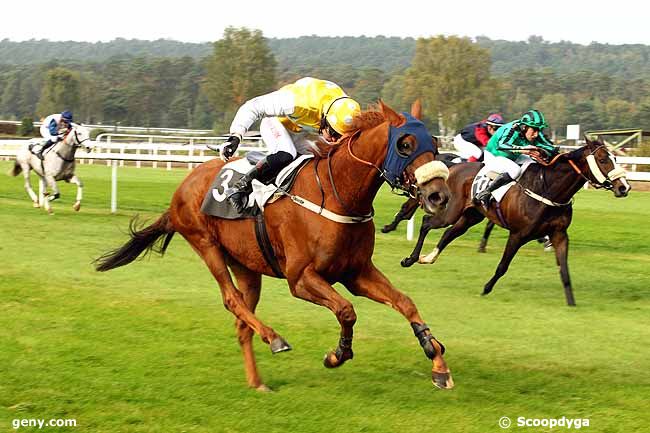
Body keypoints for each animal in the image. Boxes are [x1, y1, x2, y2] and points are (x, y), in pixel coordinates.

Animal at [93, 103, 454, 390]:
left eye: (435, 144)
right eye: (405, 144)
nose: (439, 196)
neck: (337, 193)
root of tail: (183, 187)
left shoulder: (357, 272)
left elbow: (405, 302)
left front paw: (436, 359)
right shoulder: (301, 278)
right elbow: (346, 311)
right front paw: (337, 354)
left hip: (246, 265)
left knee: (242, 319)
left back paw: (257, 381)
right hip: (206, 244)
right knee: (232, 300)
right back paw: (275, 338)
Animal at [400, 137, 628, 306]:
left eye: (615, 157)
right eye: (603, 159)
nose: (624, 187)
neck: (548, 189)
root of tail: (452, 167)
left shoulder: (559, 234)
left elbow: (564, 270)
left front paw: (571, 302)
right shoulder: (518, 234)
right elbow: (503, 266)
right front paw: (486, 289)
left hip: (471, 216)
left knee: (448, 234)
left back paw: (428, 258)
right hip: (451, 212)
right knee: (427, 222)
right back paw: (410, 259)